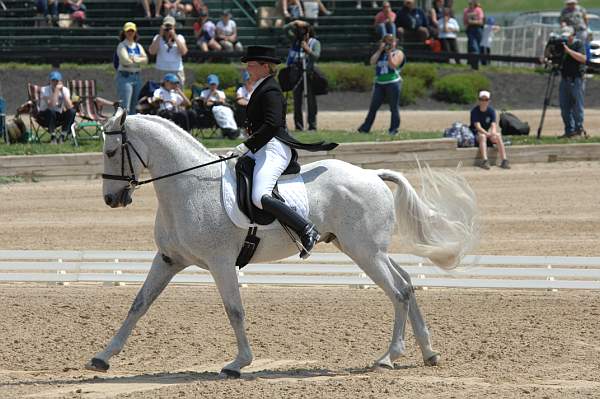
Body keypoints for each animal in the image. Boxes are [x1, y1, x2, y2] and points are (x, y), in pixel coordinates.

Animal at [86, 109, 478, 378]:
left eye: (111, 152)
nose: (111, 199)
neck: (189, 186)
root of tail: (371, 174)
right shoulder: (168, 259)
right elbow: (138, 305)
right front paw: (102, 358)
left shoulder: (220, 263)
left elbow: (235, 310)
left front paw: (238, 363)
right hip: (367, 249)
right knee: (408, 284)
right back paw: (428, 352)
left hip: (365, 252)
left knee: (397, 292)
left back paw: (388, 357)